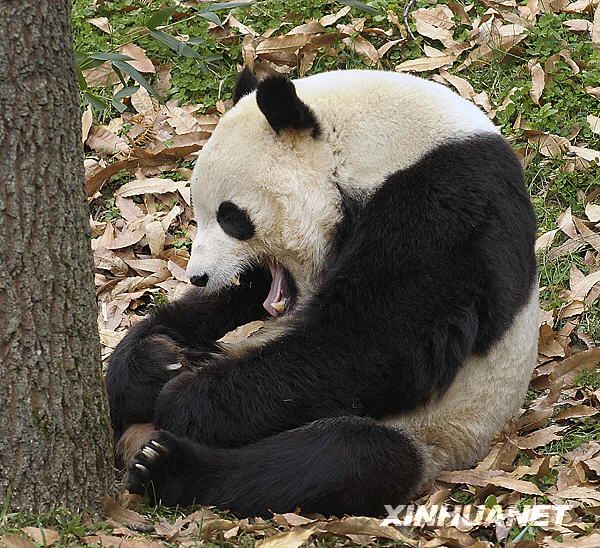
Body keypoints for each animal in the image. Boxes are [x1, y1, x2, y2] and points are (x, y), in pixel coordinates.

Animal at [106, 68, 540, 520]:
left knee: (341, 456)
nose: (199, 277)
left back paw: (165, 465)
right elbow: (229, 304)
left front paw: (183, 400)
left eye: (230, 216)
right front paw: (154, 364)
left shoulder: (447, 204)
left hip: (438, 426)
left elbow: (372, 340)